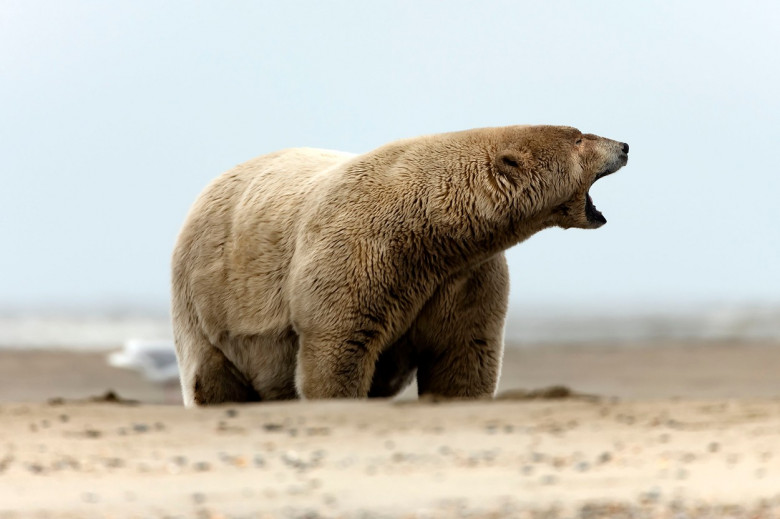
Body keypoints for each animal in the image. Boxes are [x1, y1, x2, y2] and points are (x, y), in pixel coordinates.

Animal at [171, 126, 628, 406]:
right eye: (579, 137)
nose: (624, 145)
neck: (433, 231)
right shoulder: (359, 255)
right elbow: (337, 348)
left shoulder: (464, 277)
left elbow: (462, 355)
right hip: (208, 303)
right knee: (210, 376)